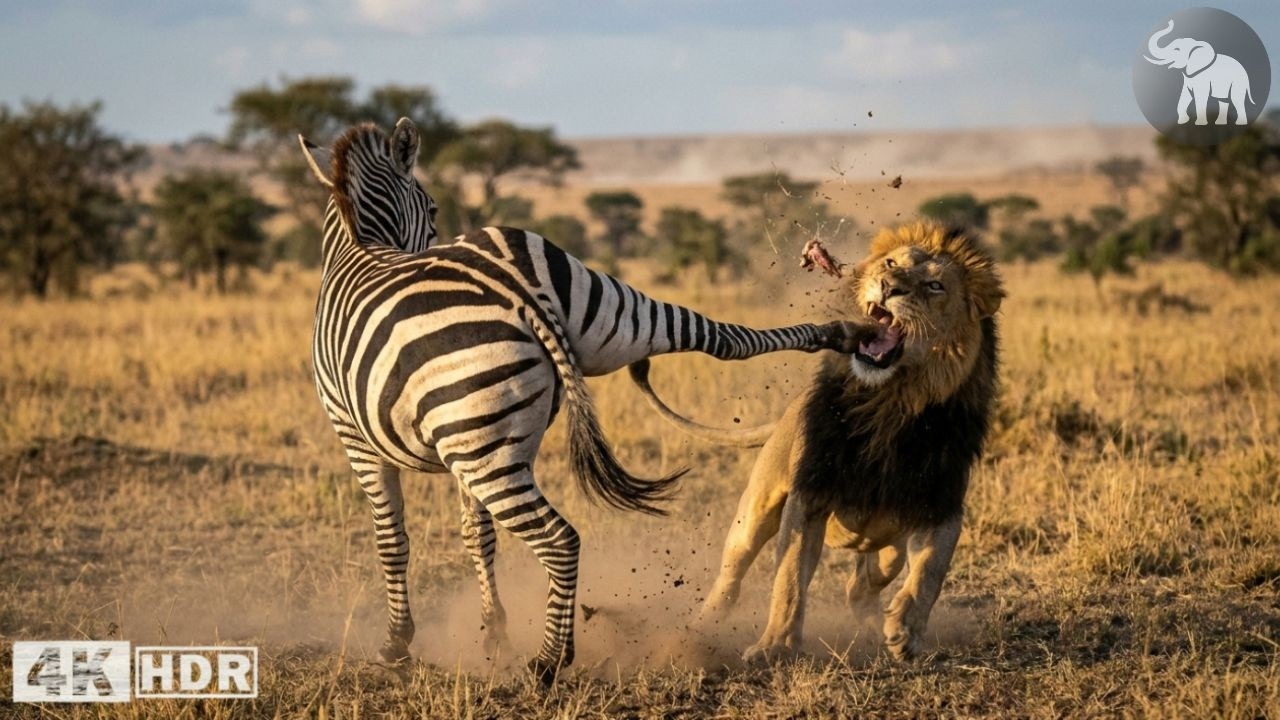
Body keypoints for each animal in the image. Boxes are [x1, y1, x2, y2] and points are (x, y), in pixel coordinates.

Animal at [297, 118, 866, 683]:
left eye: (432, 210)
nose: (435, 234)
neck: (358, 245)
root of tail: (511, 287)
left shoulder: (357, 440)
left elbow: (392, 540)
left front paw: (397, 643)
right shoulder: (451, 448)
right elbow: (476, 534)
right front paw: (493, 634)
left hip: (484, 449)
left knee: (559, 538)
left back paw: (549, 660)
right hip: (604, 314)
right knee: (725, 339)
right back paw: (848, 333)